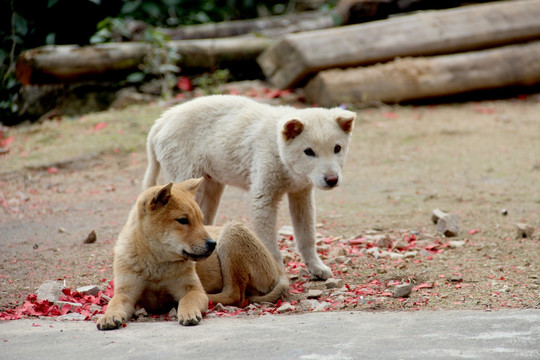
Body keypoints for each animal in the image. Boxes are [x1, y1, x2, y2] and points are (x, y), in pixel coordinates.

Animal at [96, 179, 286, 330]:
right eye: (183, 220)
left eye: (201, 220)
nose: (212, 244)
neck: (157, 263)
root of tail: (279, 270)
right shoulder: (126, 293)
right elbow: (114, 304)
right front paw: (108, 316)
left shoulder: (192, 289)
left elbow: (189, 299)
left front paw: (187, 312)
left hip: (231, 233)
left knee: (235, 294)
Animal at [141, 95, 356, 278]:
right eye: (309, 152)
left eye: (337, 148)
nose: (332, 180)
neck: (278, 149)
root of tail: (161, 121)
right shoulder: (263, 197)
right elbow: (269, 242)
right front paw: (278, 273)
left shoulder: (301, 193)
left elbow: (307, 235)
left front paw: (317, 268)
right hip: (188, 177)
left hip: (211, 184)